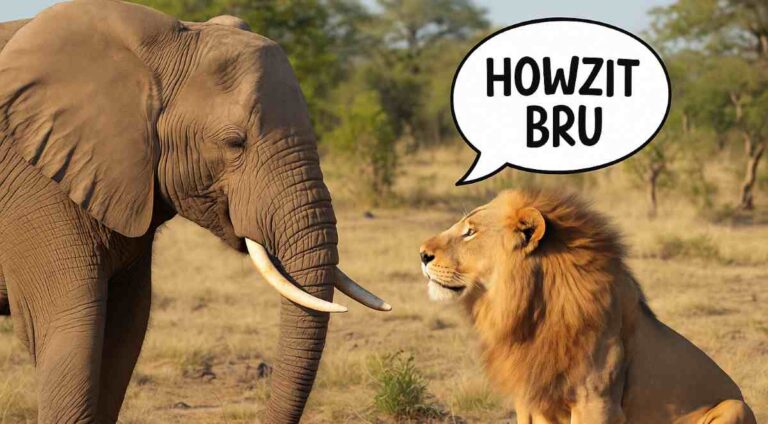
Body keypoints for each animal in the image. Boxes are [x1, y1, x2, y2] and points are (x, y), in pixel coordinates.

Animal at [419, 189, 756, 424]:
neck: (531, 310)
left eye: (470, 231)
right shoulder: (529, 397)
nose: (422, 254)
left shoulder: (596, 400)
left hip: (735, 406)